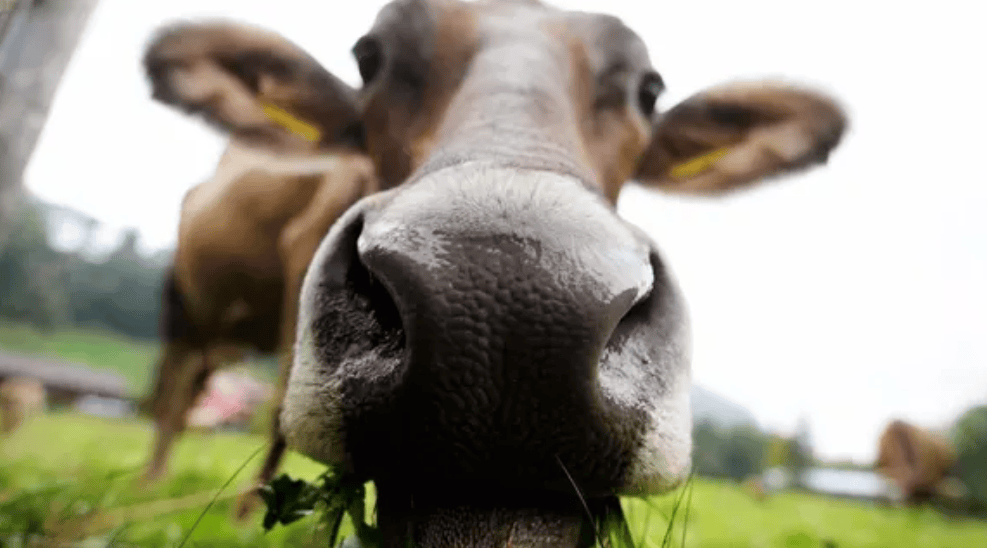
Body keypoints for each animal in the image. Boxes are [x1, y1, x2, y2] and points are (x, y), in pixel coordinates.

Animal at [143, 0, 847, 542]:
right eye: (370, 58)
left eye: (649, 91)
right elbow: (275, 419)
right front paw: (247, 521)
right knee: (173, 392)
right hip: (182, 304)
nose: (515, 313)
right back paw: (151, 480)